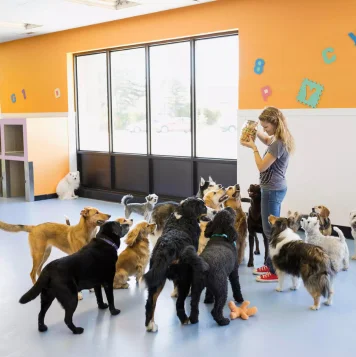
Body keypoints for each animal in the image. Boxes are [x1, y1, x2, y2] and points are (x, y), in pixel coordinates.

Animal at [142, 195, 206, 330]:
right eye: (203, 206)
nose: (213, 211)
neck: (183, 215)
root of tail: (167, 246)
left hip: (157, 276)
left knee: (150, 302)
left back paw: (150, 325)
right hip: (184, 276)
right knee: (179, 304)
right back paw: (185, 319)